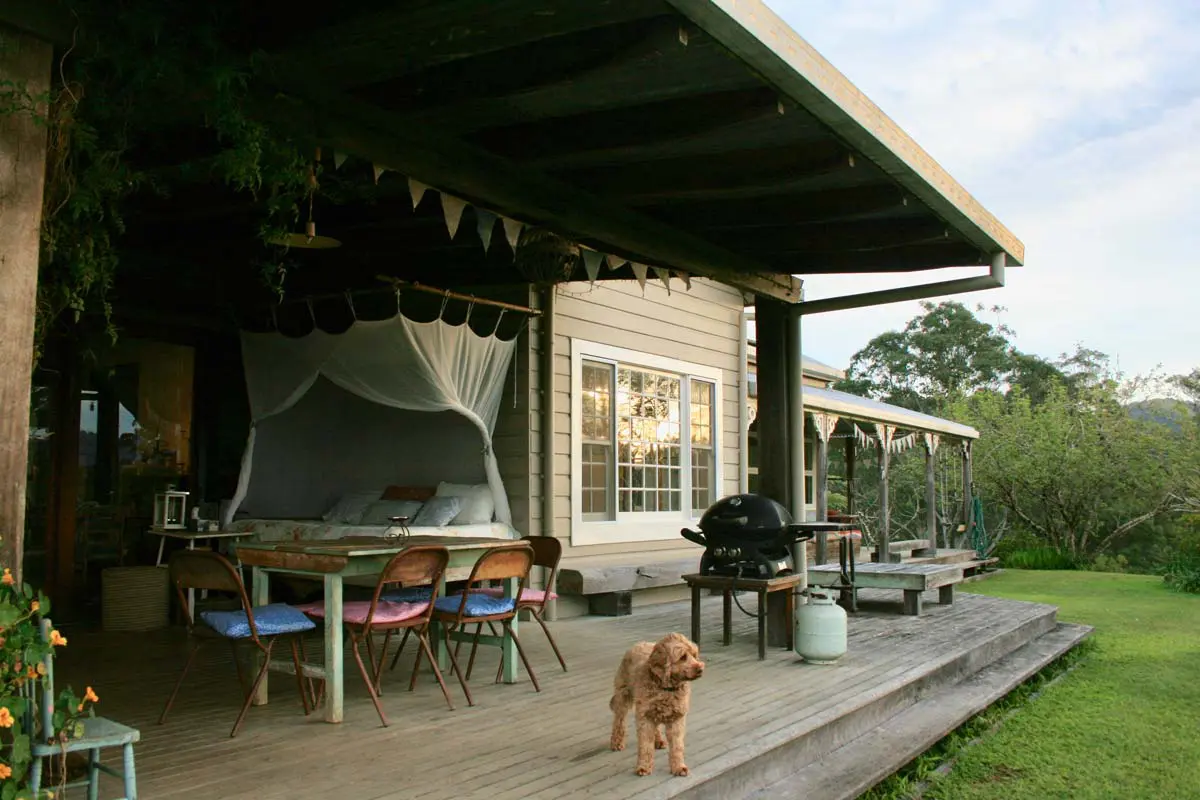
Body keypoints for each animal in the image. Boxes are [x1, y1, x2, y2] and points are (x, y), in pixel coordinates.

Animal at [609, 633, 700, 777]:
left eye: (694, 655)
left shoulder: (677, 719)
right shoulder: (644, 718)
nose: (700, 668)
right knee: (619, 721)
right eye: (682, 657)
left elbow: (677, 746)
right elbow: (645, 744)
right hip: (622, 696)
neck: (665, 689)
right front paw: (643, 767)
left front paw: (679, 767)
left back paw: (658, 741)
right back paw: (616, 742)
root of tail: (640, 643)